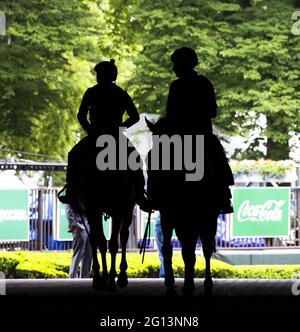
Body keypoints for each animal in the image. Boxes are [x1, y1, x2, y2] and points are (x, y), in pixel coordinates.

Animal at [65, 130, 147, 290]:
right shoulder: (92, 209)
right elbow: (99, 241)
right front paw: (100, 278)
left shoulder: (118, 209)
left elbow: (114, 243)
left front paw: (112, 278)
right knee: (95, 238)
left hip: (127, 209)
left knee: (123, 235)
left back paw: (121, 276)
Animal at [146, 118, 234, 296]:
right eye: (150, 157)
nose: (153, 190)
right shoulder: (169, 217)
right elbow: (169, 249)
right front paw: (172, 284)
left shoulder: (202, 219)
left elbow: (199, 250)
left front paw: (194, 285)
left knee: (205, 249)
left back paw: (206, 284)